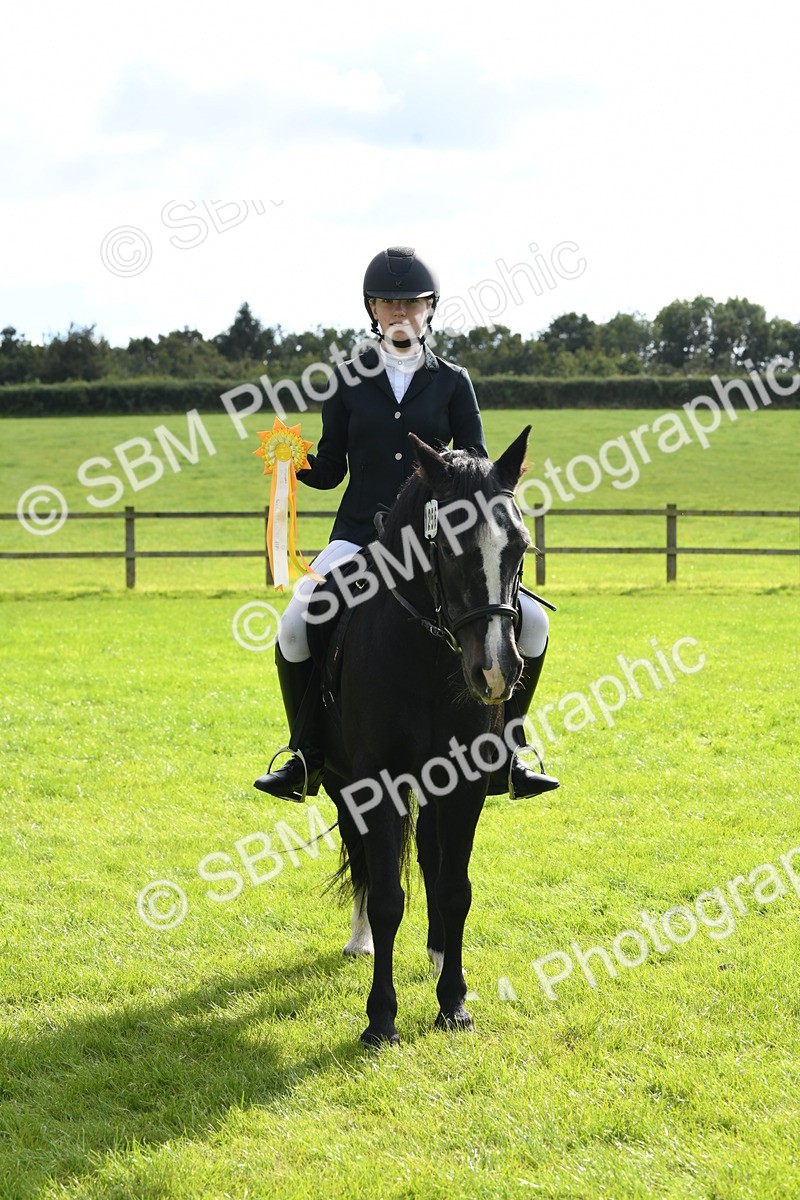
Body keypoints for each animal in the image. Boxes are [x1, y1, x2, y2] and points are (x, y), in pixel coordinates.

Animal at [316, 426, 533, 1046]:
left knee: (434, 863)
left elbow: (456, 888)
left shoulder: (463, 781)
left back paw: (438, 953)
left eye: (520, 548)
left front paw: (453, 1002)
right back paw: (361, 940)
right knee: (365, 860)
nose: (496, 672)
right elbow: (389, 897)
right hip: (341, 782)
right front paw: (380, 1019)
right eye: (449, 548)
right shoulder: (376, 783)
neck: (428, 657)